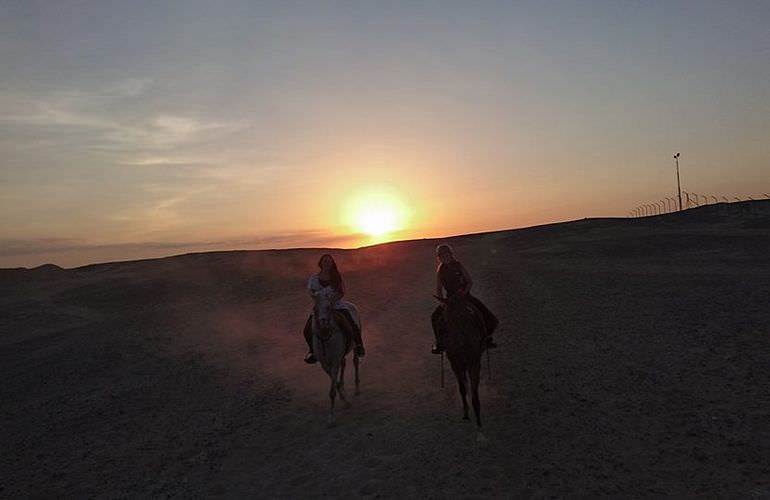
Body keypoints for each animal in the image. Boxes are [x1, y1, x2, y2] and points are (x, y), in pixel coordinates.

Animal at [312, 290, 360, 422]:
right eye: (315, 309)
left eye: (329, 307)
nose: (323, 324)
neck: (325, 338)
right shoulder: (325, 364)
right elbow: (335, 382)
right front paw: (344, 399)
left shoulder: (334, 361)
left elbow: (332, 390)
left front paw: (332, 415)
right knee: (344, 363)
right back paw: (344, 386)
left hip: (355, 344)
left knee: (355, 361)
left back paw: (357, 388)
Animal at [436, 292, 484, 442]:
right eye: (445, 319)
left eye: (461, 314)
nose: (455, 343)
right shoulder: (458, 362)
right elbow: (464, 388)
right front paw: (467, 413)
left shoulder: (470, 362)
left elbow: (469, 391)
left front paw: (474, 419)